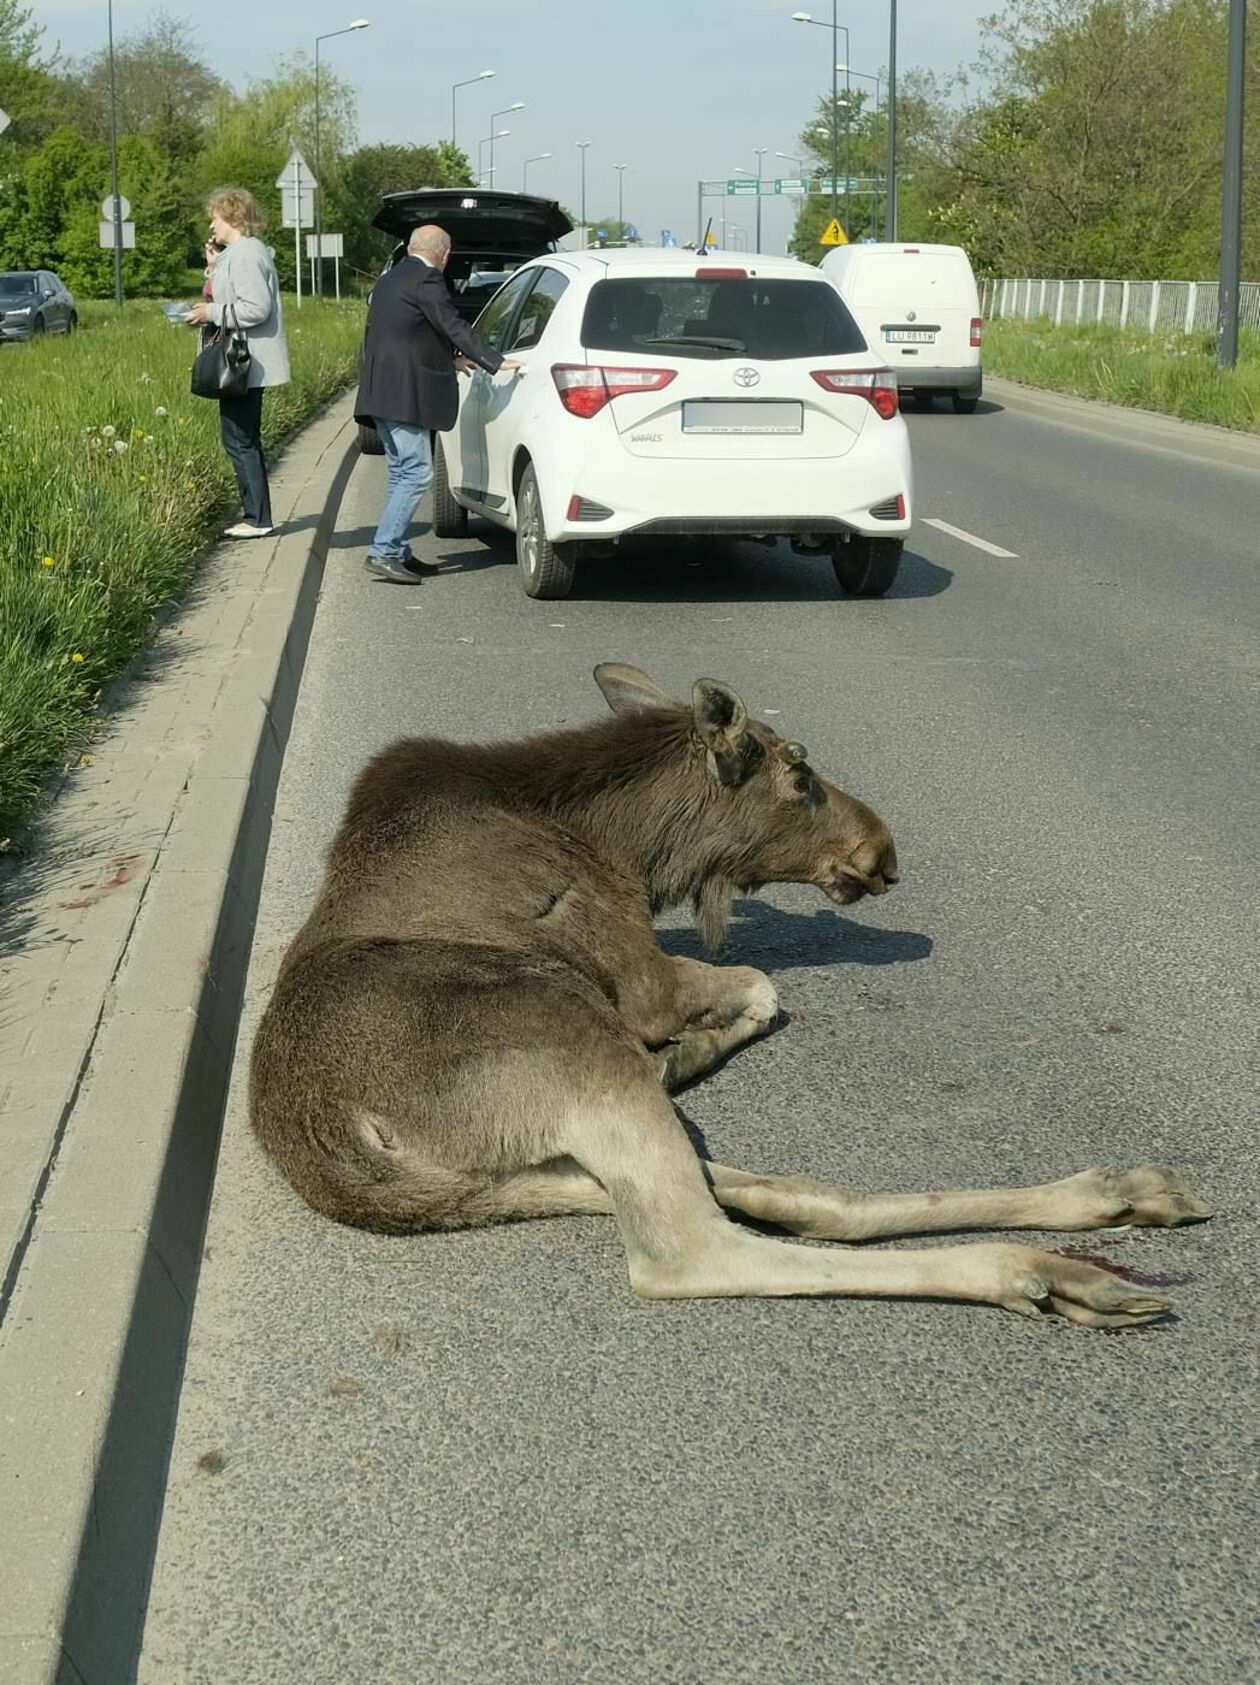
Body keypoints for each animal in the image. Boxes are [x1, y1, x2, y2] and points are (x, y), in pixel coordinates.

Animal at [252, 660, 1212, 1327]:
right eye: (800, 772)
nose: (883, 850)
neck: (630, 845)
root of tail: (343, 1150)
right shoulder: (637, 979)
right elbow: (761, 981)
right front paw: (697, 1040)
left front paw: (694, 1049)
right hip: (571, 1033)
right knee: (692, 1246)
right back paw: (1040, 1268)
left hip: (522, 1162)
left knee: (800, 1196)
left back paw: (1109, 1198)